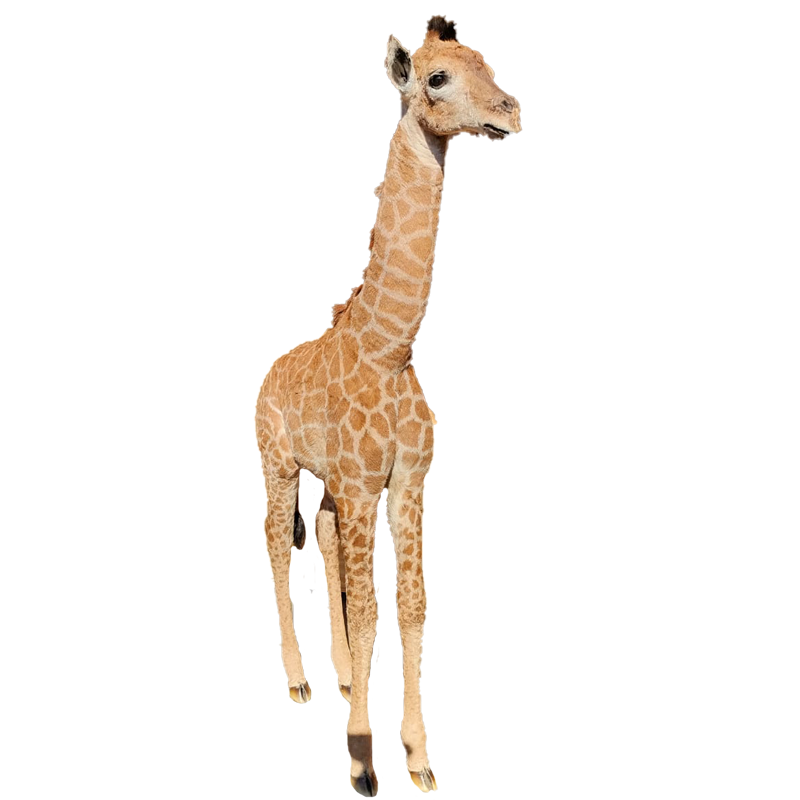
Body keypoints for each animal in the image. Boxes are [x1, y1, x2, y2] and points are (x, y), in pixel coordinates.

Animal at [255, 17, 522, 798]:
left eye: (487, 65)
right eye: (436, 79)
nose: (510, 111)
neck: (390, 346)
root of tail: (268, 375)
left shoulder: (403, 486)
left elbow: (411, 608)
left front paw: (422, 759)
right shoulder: (360, 484)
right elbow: (371, 613)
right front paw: (365, 767)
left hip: (320, 487)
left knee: (321, 559)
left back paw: (342, 679)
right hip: (278, 466)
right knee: (278, 550)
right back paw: (296, 682)